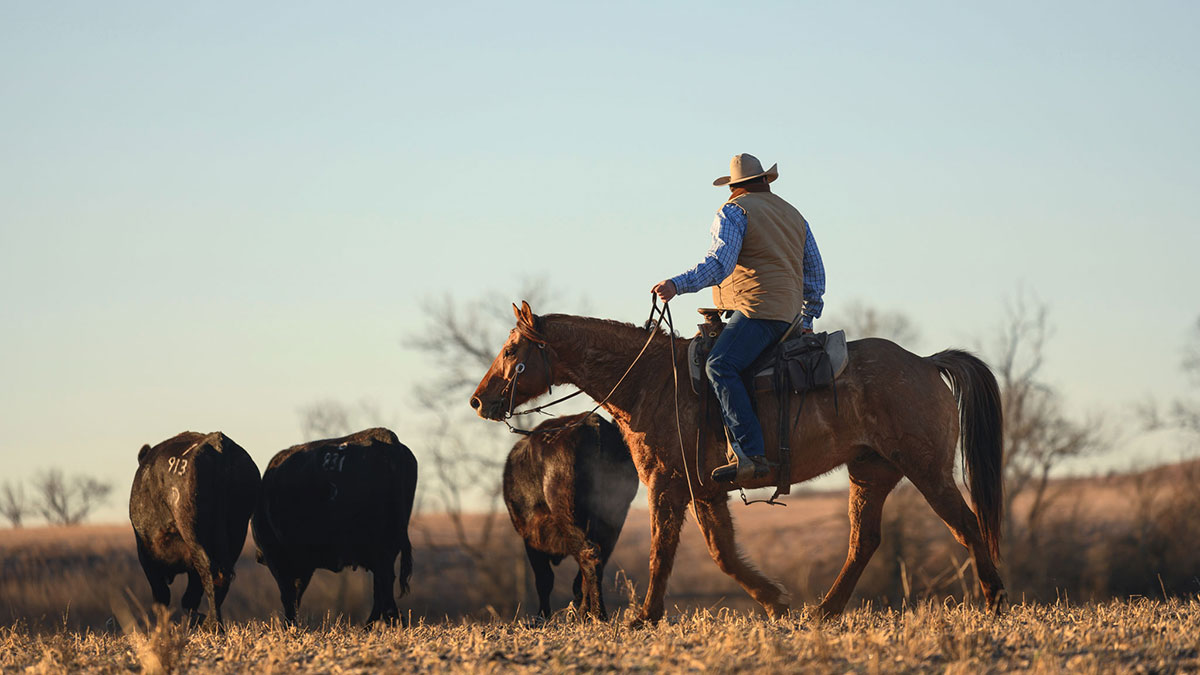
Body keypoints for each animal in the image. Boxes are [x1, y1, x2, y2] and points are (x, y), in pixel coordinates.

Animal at [129, 431, 261, 627]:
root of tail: (217, 443)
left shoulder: (146, 555)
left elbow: (162, 596)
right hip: (237, 531)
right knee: (222, 576)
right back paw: (210, 622)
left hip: (193, 530)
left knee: (209, 570)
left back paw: (213, 625)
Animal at [252, 427, 417, 624]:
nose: (258, 556)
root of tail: (388, 440)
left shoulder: (278, 558)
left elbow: (289, 596)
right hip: (388, 548)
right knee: (382, 589)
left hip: (379, 550)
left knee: (384, 588)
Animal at [504, 413, 640, 620]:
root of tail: (593, 424)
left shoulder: (531, 536)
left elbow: (544, 580)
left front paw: (542, 616)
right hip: (613, 519)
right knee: (595, 562)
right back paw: (589, 613)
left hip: (569, 515)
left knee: (588, 557)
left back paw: (598, 614)